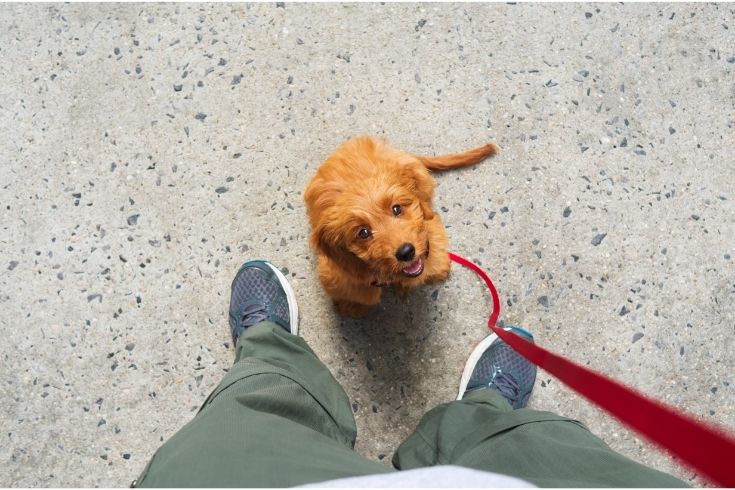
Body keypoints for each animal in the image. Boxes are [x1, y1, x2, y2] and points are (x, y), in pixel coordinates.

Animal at [302, 137, 498, 318]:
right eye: (363, 233)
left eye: (397, 209)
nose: (406, 252)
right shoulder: (340, 275)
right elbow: (357, 294)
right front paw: (352, 306)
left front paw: (437, 268)